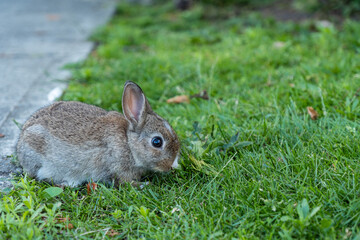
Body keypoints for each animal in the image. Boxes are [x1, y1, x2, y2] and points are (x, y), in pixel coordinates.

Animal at [16, 81, 180, 187]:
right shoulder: (118, 169)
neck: (129, 144)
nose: (171, 165)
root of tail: (21, 141)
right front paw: (144, 184)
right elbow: (125, 182)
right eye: (157, 142)